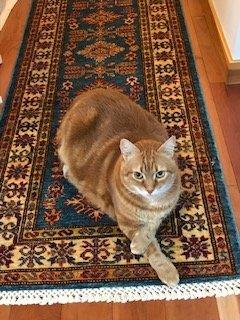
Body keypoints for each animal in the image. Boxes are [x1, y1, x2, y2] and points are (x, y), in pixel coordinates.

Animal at [57, 89, 181, 286]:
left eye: (160, 174)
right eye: (138, 175)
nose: (150, 189)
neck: (151, 205)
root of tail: (86, 93)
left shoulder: (163, 212)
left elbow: (149, 229)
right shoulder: (126, 222)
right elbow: (152, 247)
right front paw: (166, 269)